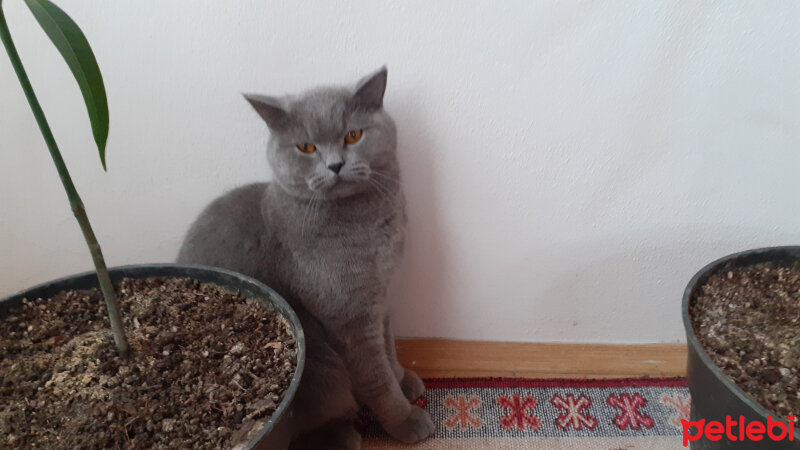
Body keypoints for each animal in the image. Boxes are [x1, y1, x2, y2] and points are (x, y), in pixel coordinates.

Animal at [178, 67, 434, 450]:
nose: (336, 165)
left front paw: (404, 380)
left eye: (353, 135)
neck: (371, 224)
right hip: (321, 366)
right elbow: (377, 378)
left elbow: (390, 350)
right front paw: (405, 419)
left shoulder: (384, 299)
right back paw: (342, 436)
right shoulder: (351, 318)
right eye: (306, 147)